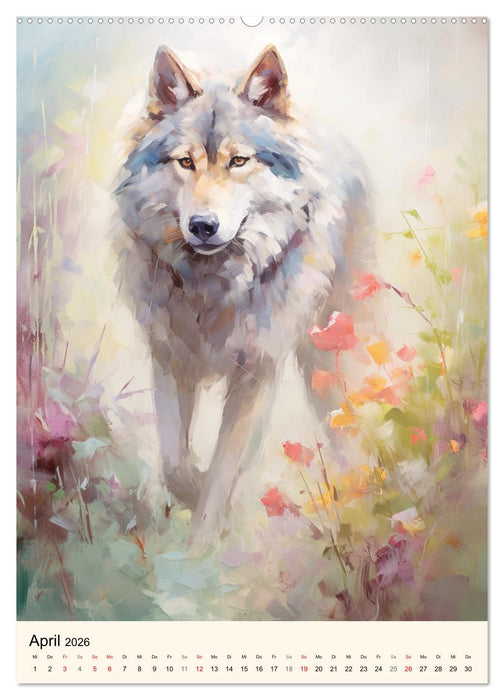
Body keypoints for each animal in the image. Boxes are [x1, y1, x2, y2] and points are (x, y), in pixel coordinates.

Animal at [114, 45, 372, 552]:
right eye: (185, 162)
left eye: (238, 161)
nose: (203, 225)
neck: (212, 290)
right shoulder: (169, 358)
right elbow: (175, 462)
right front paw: (192, 494)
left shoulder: (257, 373)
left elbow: (224, 468)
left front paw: (200, 550)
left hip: (330, 356)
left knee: (346, 426)